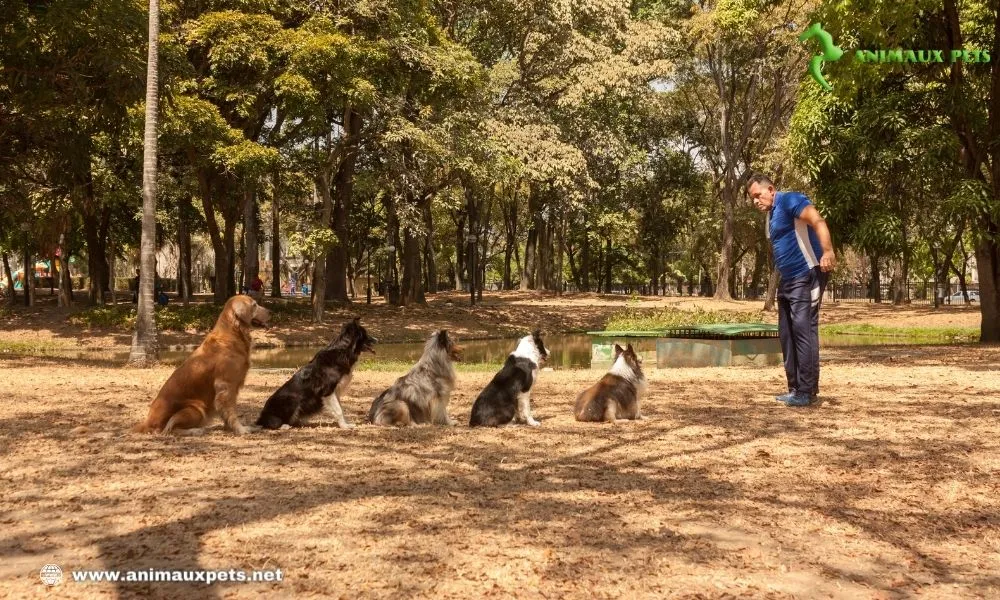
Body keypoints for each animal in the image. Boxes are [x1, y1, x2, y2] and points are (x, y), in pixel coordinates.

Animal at [135, 296, 274, 436]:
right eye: (254, 305)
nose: (270, 312)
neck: (234, 333)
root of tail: (146, 424)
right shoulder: (226, 385)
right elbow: (232, 412)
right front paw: (241, 429)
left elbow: (227, 413)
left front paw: (230, 427)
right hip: (195, 408)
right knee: (170, 429)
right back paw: (196, 430)